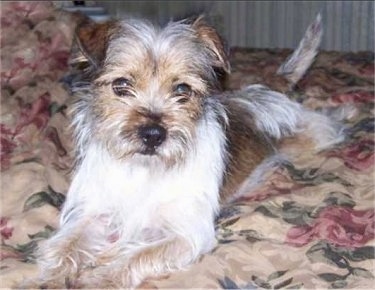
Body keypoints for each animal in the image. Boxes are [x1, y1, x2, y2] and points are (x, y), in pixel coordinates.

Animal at [23, 13, 346, 288]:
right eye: (121, 85)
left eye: (182, 90)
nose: (153, 135)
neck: (144, 170)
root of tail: (266, 88)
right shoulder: (92, 212)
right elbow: (65, 245)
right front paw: (50, 280)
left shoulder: (186, 233)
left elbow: (137, 255)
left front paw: (101, 279)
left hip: (316, 133)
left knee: (330, 123)